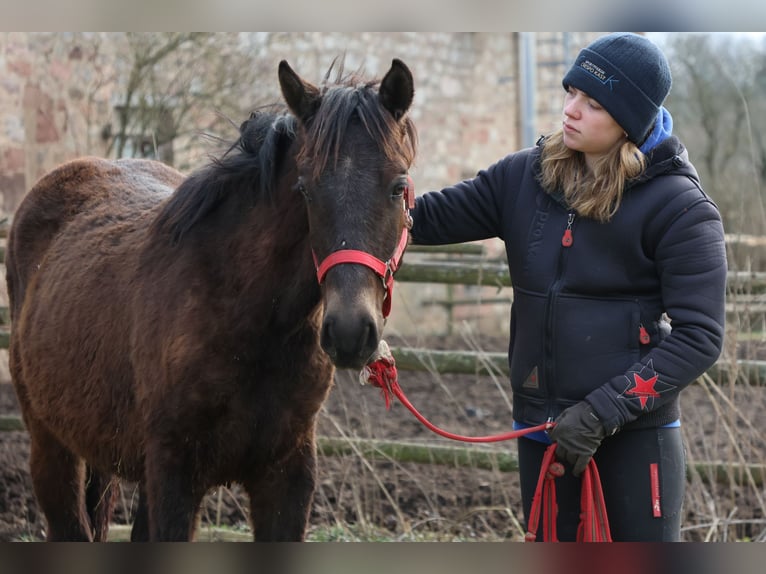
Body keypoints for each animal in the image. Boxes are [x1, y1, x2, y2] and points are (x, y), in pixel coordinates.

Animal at [4, 56, 420, 544]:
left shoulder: (287, 476)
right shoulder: (175, 475)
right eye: (305, 189)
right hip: (53, 447)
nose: (351, 331)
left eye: (398, 186)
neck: (250, 319)